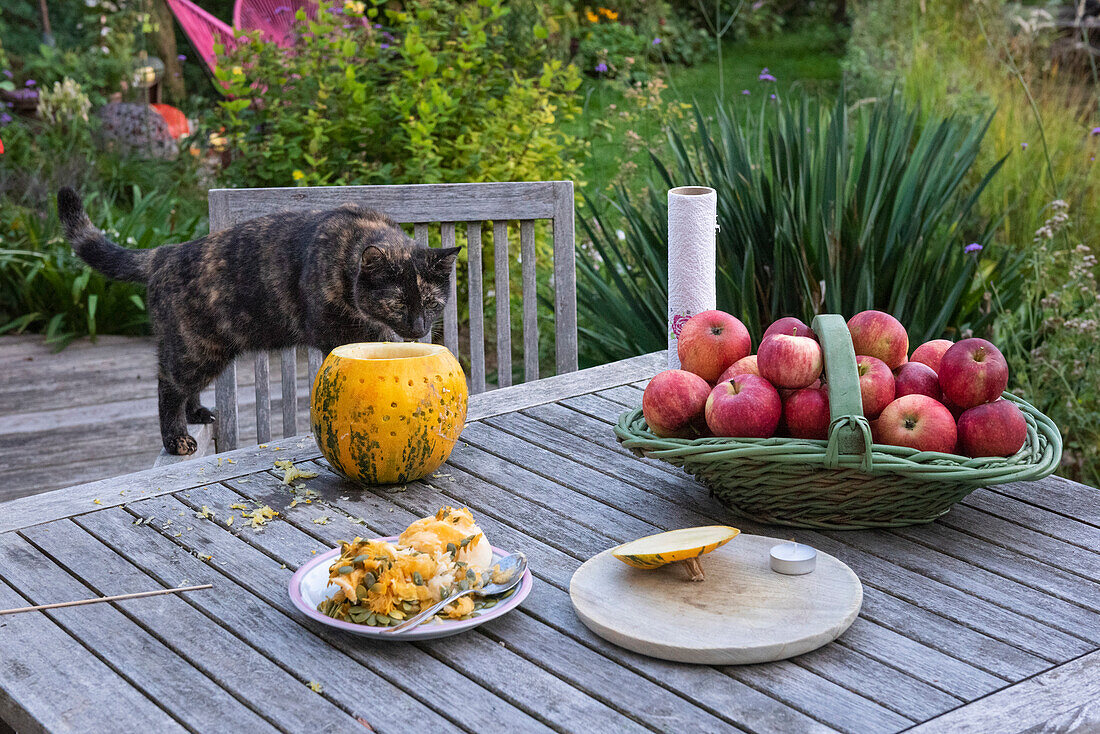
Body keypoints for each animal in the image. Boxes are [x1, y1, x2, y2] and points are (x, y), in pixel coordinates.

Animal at [56, 187, 459, 455]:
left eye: (430, 303)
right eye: (397, 302)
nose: (419, 327)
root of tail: (164, 253)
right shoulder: (335, 331)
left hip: (209, 350)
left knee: (184, 386)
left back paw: (198, 413)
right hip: (195, 348)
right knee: (167, 384)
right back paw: (176, 438)